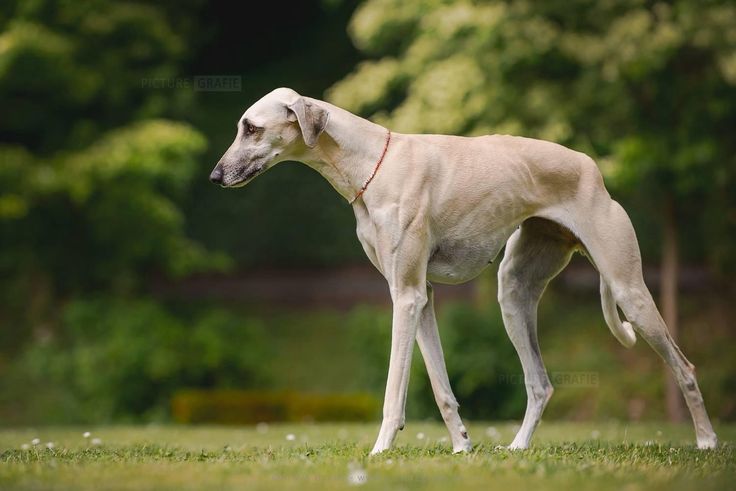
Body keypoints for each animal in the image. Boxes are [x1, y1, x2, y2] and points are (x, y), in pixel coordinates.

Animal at [209, 87, 717, 454]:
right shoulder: (421, 296)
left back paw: (707, 441)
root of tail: (592, 168)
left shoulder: (405, 296)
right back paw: (516, 448)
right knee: (540, 384)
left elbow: (394, 389)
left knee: (686, 367)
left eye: (251, 128)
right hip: (513, 295)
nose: (215, 177)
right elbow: (440, 386)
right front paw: (461, 448)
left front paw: (379, 452)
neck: (372, 163)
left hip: (629, 289)